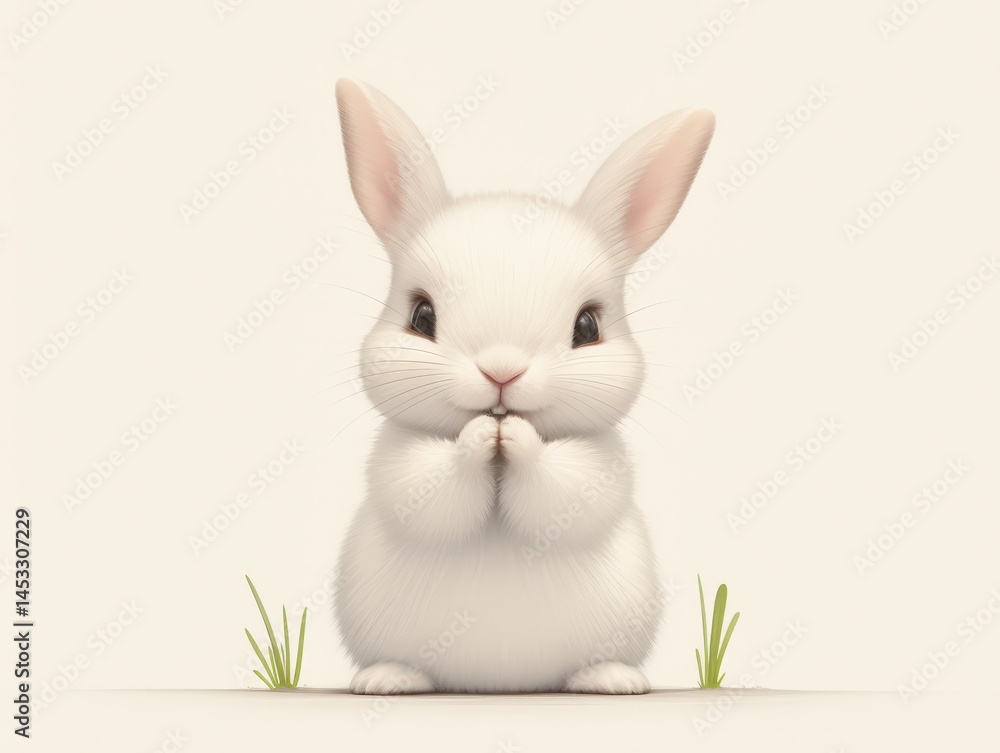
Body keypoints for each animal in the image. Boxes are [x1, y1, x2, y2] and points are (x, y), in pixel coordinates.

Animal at [333, 78, 714, 694]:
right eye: (420, 316)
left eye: (589, 327)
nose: (502, 372)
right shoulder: (397, 461)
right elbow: (428, 492)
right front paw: (480, 437)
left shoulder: (600, 468)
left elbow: (562, 492)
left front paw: (514, 439)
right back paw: (387, 678)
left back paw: (613, 679)